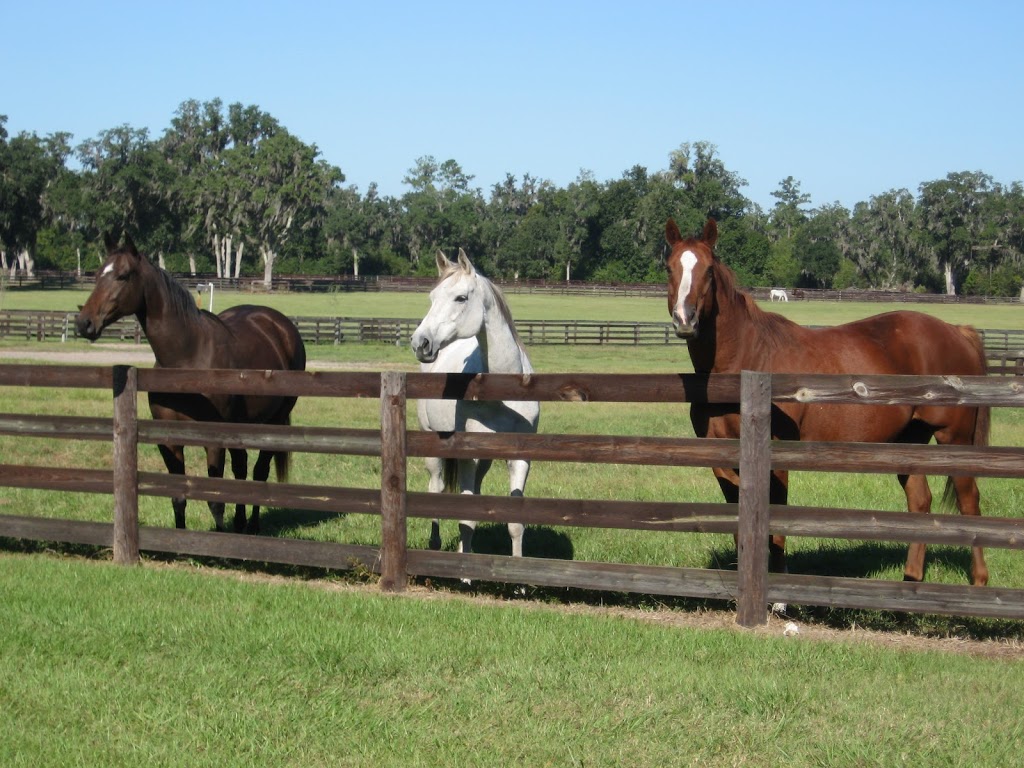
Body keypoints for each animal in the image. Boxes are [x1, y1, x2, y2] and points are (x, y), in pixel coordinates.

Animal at [75, 234, 303, 536]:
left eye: (123, 276)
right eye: (98, 274)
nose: (84, 323)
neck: (187, 358)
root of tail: (279, 325)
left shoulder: (213, 441)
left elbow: (215, 501)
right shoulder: (170, 442)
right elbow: (178, 496)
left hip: (274, 422)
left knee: (258, 472)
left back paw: (252, 526)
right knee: (241, 469)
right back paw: (241, 524)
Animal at [407, 249, 540, 557]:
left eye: (460, 298)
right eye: (432, 297)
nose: (420, 343)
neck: (503, 396)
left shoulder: (520, 458)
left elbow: (515, 524)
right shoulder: (470, 456)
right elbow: (465, 518)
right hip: (434, 447)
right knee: (437, 488)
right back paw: (436, 544)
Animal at [663, 219, 991, 585]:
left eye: (708, 270)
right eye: (669, 268)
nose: (685, 319)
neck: (745, 359)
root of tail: (957, 331)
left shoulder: (776, 456)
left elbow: (776, 524)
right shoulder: (720, 453)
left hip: (954, 437)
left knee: (969, 500)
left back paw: (978, 580)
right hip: (909, 441)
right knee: (920, 501)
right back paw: (910, 579)